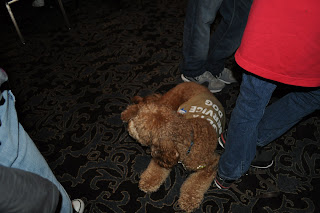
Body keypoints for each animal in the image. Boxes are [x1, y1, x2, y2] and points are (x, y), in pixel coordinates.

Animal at [120, 82, 222, 212]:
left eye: (138, 127)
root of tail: (196, 84)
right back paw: (127, 113)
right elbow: (156, 170)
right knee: (143, 103)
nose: (129, 125)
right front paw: (148, 181)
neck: (189, 139)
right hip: (168, 101)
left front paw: (189, 200)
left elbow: (195, 184)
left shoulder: (211, 164)